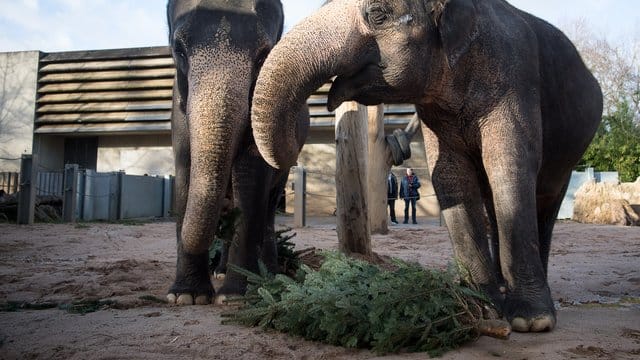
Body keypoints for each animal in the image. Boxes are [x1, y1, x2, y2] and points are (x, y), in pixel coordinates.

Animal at [166, 0, 308, 306]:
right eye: (179, 49)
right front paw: (186, 296)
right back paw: (220, 271)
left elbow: (252, 175)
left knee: (268, 210)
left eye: (264, 55)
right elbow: (185, 171)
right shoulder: (177, 111)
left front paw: (235, 298)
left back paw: (269, 273)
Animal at [249, 0, 600, 332]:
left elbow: (508, 167)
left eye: (378, 14)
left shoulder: (512, 80)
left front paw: (531, 322)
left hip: (570, 152)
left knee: (546, 199)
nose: (317, 108)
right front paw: (482, 308)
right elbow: (449, 175)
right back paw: (502, 289)